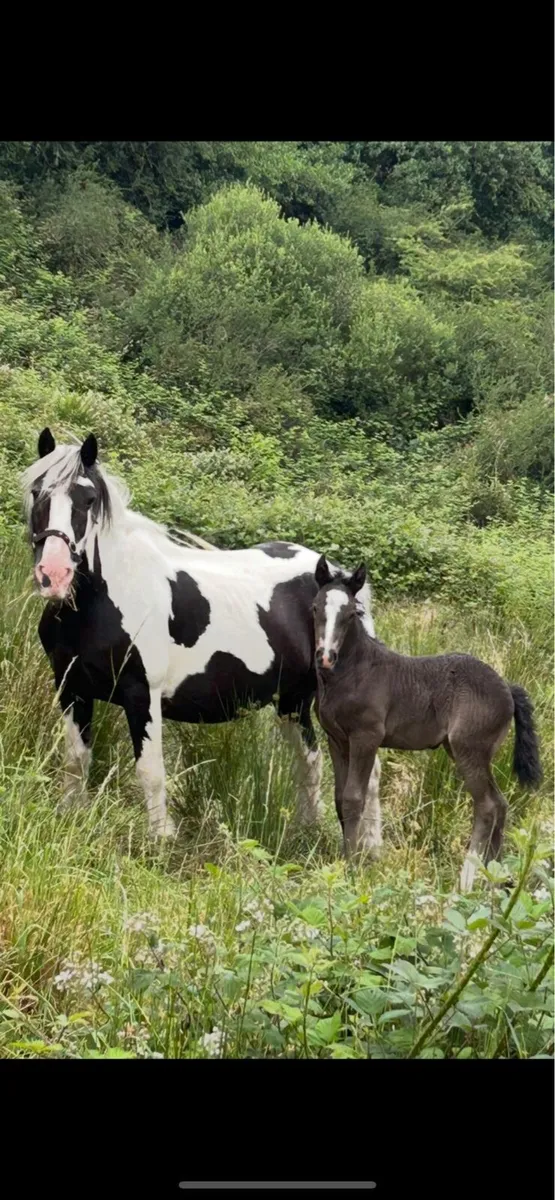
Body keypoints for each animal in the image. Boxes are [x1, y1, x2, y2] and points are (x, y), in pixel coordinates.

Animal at [21, 428, 383, 842]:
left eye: (88, 499)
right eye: (37, 491)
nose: (54, 574)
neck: (105, 600)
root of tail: (342, 581)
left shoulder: (141, 694)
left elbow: (150, 771)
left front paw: (161, 840)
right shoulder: (71, 688)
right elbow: (75, 761)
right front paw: (71, 817)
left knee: (368, 772)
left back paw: (370, 846)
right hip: (293, 701)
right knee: (309, 760)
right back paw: (307, 832)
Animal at [312, 555, 542, 891]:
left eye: (352, 613)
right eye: (316, 607)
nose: (325, 656)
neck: (353, 672)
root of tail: (507, 688)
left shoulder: (366, 737)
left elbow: (354, 799)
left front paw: (353, 868)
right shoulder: (337, 740)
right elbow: (340, 799)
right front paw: (345, 860)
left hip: (469, 749)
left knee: (487, 805)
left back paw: (467, 880)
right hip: (460, 750)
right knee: (500, 804)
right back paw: (495, 879)